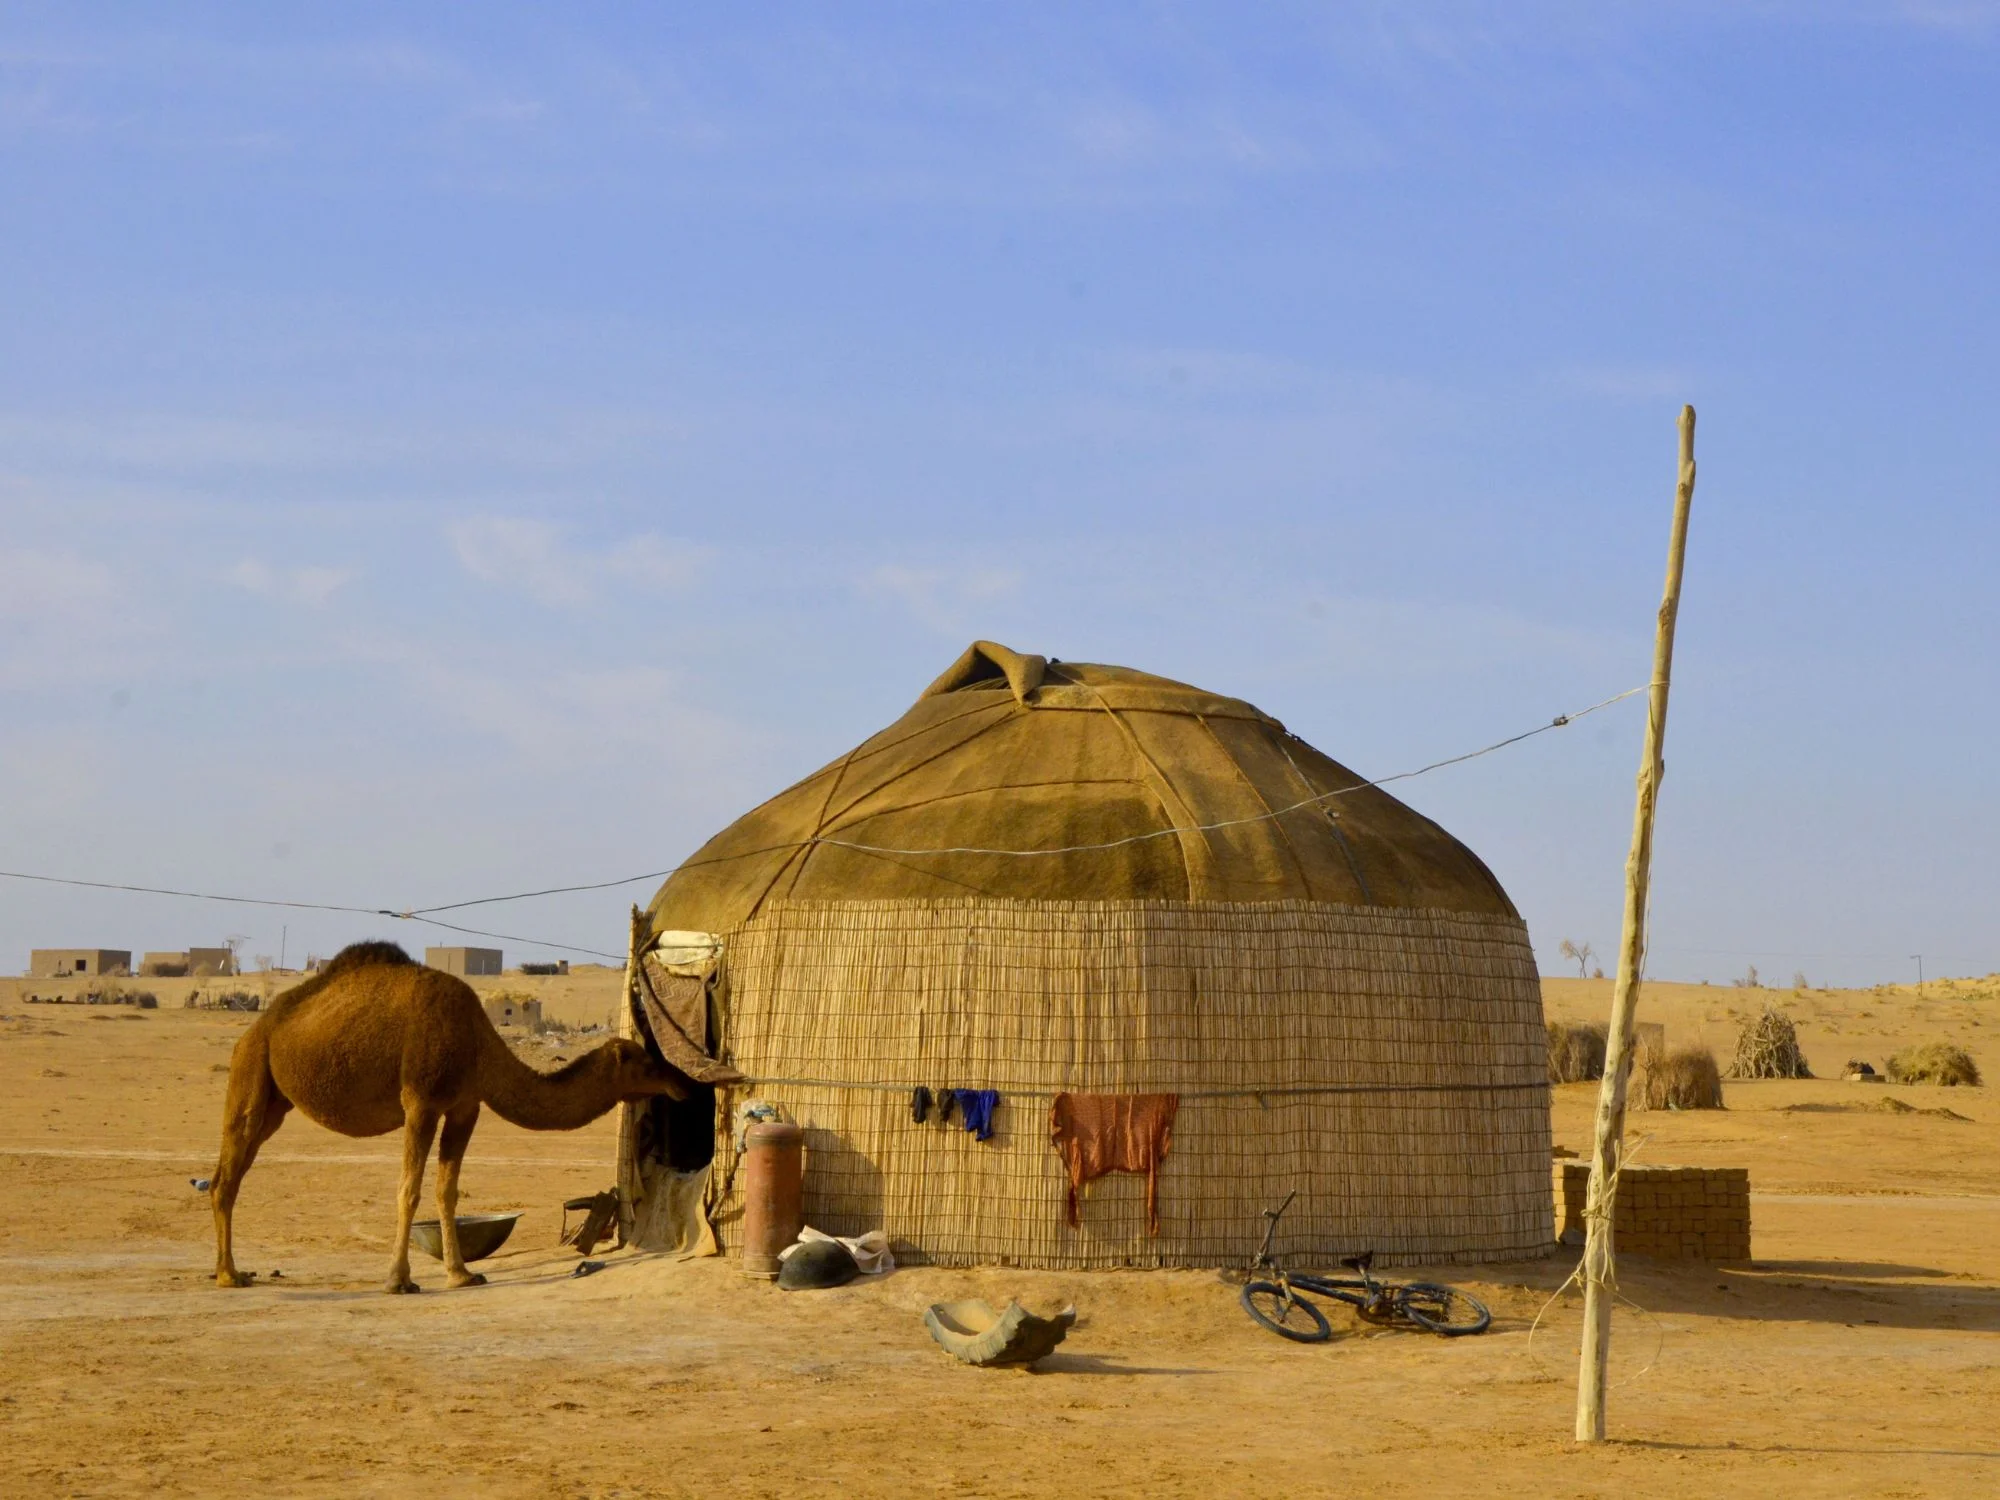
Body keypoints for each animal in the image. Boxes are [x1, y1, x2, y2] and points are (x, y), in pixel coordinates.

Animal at [210, 940, 687, 1293]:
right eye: (647, 1063)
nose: (680, 1083)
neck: (478, 1044)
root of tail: (256, 1028)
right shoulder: (420, 1101)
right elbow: (409, 1189)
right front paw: (399, 1280)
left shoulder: (464, 1107)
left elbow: (447, 1191)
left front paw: (462, 1274)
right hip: (251, 1069)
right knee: (227, 1174)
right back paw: (229, 1275)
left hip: (275, 1100)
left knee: (227, 1173)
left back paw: (230, 1269)